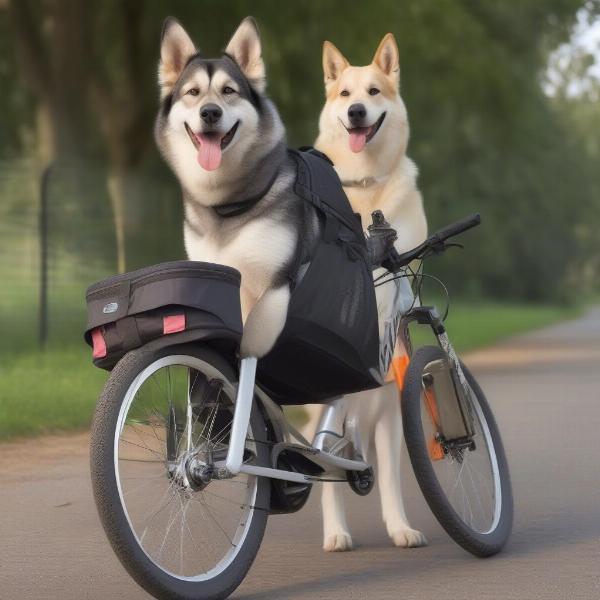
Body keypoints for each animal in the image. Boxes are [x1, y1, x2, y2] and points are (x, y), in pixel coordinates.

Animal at [155, 16, 316, 358]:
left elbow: (249, 349)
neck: (226, 202)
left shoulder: (275, 289)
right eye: (192, 92)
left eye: (229, 90)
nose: (210, 112)